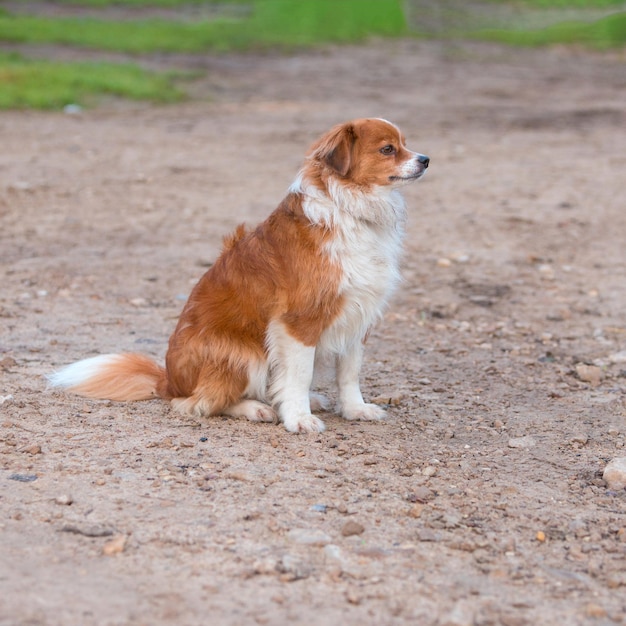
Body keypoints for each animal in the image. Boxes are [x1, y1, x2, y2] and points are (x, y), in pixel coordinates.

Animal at [48, 117, 428, 432]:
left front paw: (355, 409)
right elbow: (300, 373)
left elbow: (349, 372)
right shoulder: (299, 321)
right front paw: (298, 418)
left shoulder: (357, 313)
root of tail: (168, 380)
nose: (425, 159)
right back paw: (256, 408)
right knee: (195, 403)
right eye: (388, 149)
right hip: (242, 352)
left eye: (405, 144)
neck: (353, 210)